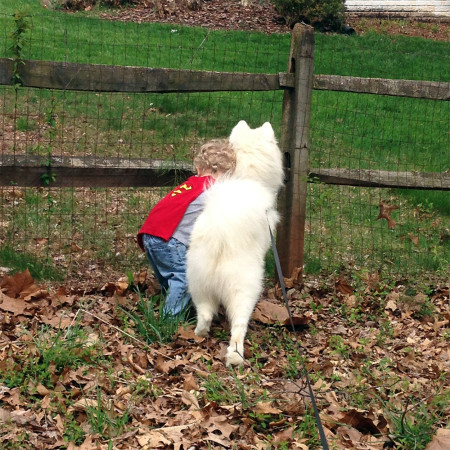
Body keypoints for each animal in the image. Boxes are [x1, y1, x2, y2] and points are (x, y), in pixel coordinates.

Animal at [187, 120, 284, 366]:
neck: (248, 176)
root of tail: (220, 236)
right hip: (245, 288)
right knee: (239, 326)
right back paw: (236, 355)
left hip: (197, 283)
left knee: (205, 314)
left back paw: (199, 333)